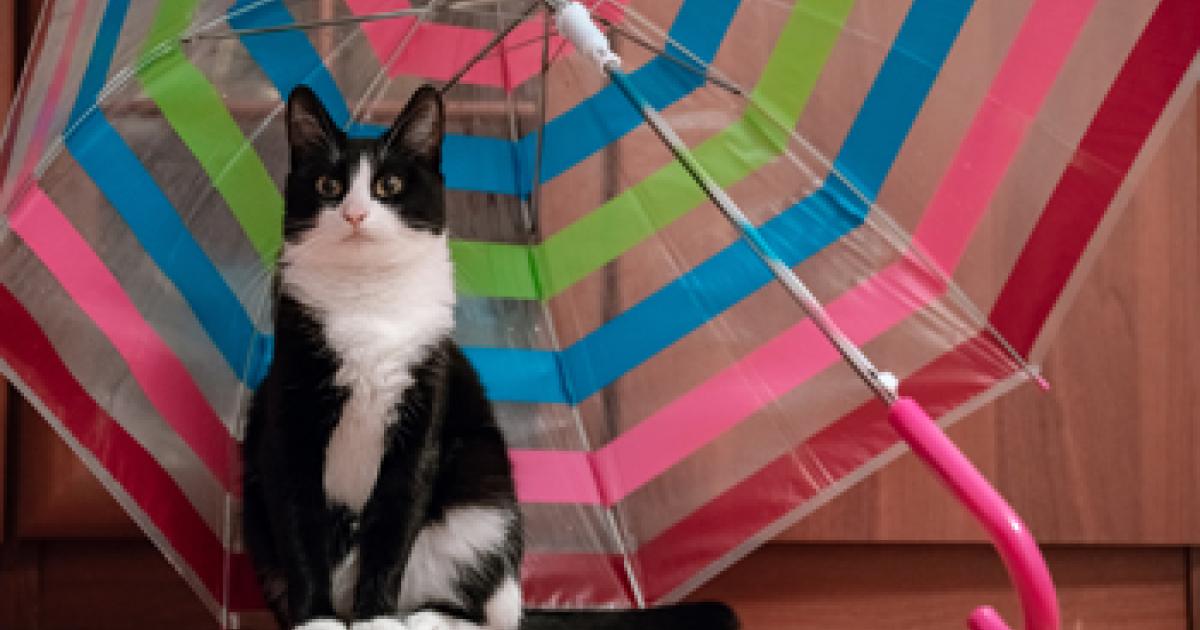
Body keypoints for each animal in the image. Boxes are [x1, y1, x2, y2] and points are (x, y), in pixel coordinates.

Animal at [242, 85, 739, 630]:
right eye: (329, 185)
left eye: (389, 185)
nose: (354, 214)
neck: (367, 304)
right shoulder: (288, 421)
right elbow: (297, 522)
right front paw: (316, 621)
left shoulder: (422, 418)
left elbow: (394, 525)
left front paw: (376, 622)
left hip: (481, 498)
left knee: (485, 612)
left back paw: (422, 619)